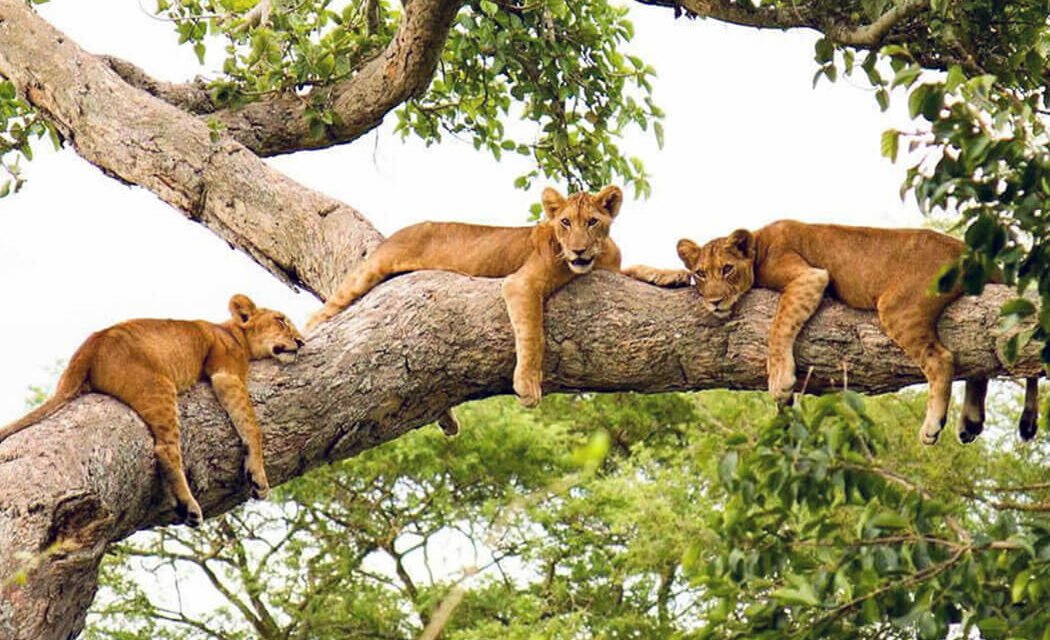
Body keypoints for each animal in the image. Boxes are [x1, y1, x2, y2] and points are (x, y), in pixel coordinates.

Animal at [0, 294, 305, 527]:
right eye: (281, 319)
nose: (301, 342)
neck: (232, 332)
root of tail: (90, 345)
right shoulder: (226, 373)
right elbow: (252, 426)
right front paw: (258, 477)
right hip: (160, 386)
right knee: (165, 449)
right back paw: (189, 506)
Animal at [306, 185, 625, 413]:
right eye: (566, 222)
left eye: (592, 222)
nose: (579, 251)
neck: (597, 258)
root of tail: (399, 232)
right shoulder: (521, 284)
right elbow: (534, 334)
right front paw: (527, 384)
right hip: (368, 272)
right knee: (319, 315)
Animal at [625, 220, 1040, 445]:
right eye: (700, 274)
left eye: (726, 269)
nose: (713, 302)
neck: (758, 242)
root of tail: (970, 250)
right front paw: (644, 271)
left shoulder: (809, 276)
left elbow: (779, 327)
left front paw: (780, 380)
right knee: (978, 364)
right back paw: (970, 422)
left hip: (898, 307)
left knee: (943, 359)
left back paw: (933, 425)